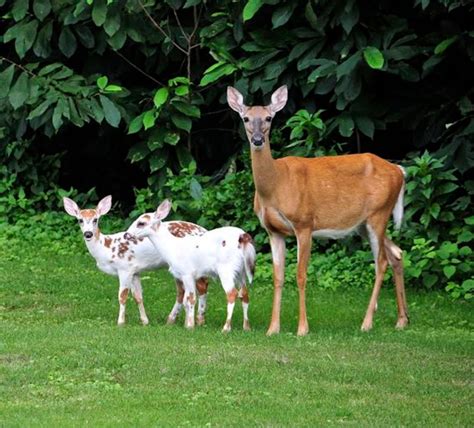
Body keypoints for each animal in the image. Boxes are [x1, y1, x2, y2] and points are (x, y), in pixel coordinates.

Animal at [228, 85, 410, 336]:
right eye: (245, 118)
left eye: (268, 118)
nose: (257, 140)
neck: (276, 185)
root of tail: (399, 171)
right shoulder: (273, 231)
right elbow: (278, 277)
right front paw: (273, 328)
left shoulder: (304, 223)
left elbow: (301, 275)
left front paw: (302, 328)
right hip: (363, 224)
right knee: (396, 253)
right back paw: (402, 320)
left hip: (379, 214)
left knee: (381, 262)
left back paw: (367, 323)